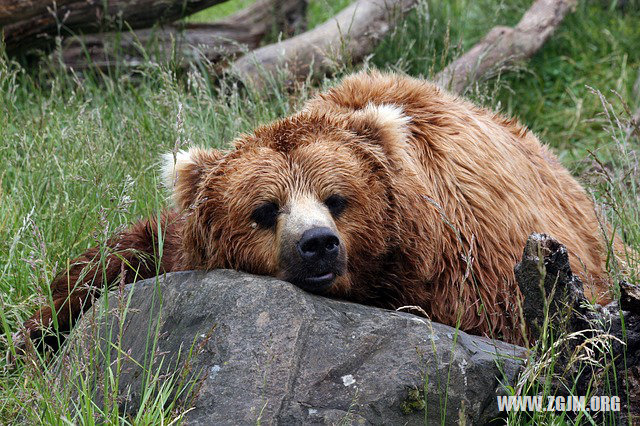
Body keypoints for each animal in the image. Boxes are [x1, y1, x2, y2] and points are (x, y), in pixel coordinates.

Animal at [22, 70, 624, 350]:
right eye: (265, 209)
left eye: (338, 198)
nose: (318, 244)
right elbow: (113, 263)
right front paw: (41, 333)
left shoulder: (478, 258)